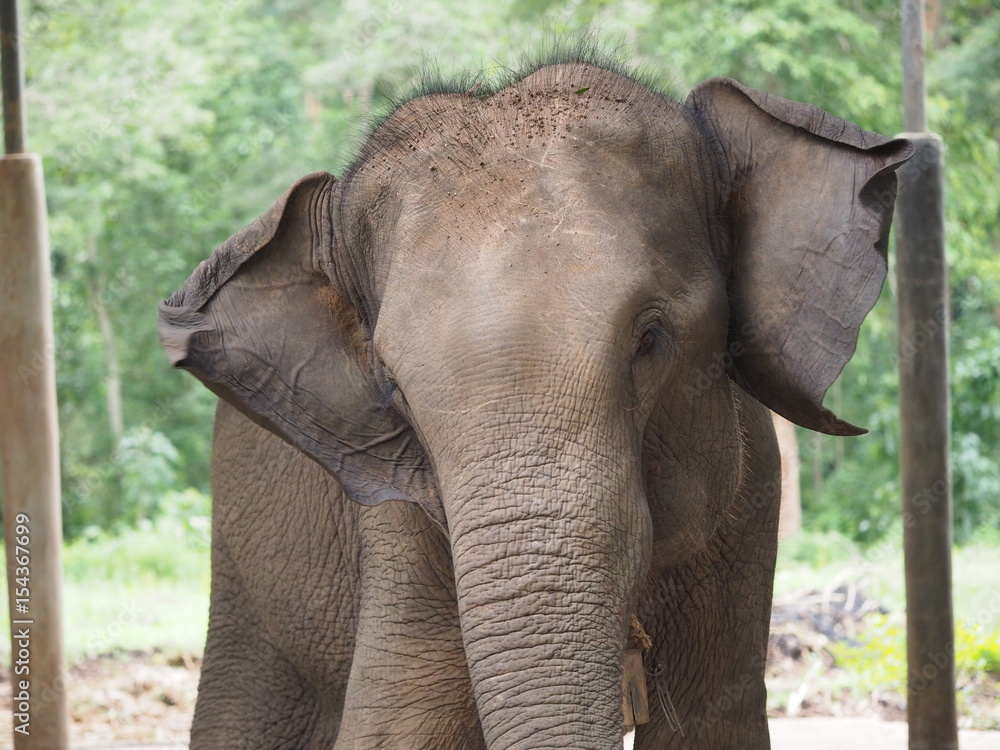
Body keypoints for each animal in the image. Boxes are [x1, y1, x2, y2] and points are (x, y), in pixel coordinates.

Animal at [159, 57, 912, 750]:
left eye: (650, 340)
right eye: (393, 390)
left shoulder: (747, 515)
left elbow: (714, 726)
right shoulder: (405, 531)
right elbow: (397, 731)